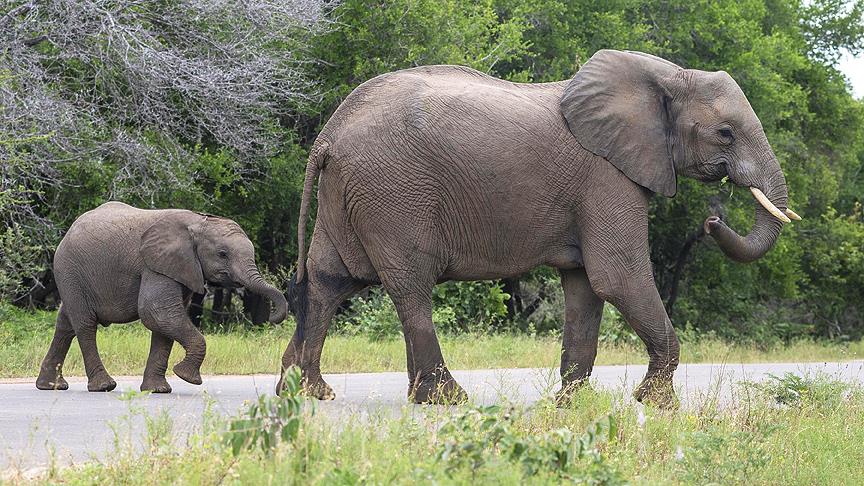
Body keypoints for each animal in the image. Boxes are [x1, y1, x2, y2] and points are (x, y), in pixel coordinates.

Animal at [36, 199, 286, 392]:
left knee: (65, 323)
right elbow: (156, 312)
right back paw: (104, 386)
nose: (273, 317)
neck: (197, 223)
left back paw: (51, 386)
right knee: (85, 325)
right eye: (222, 254)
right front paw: (186, 376)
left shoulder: (180, 268)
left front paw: (158, 390)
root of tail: (69, 229)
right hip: (70, 270)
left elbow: (164, 322)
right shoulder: (155, 265)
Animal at [280, 49, 800, 406]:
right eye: (726, 134)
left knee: (329, 280)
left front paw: (572, 405)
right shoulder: (607, 177)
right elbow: (618, 277)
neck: (665, 76)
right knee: (410, 287)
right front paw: (656, 404)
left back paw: (305, 391)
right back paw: (445, 399)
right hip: (393, 193)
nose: (713, 220)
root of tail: (328, 134)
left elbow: (586, 287)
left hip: (347, 195)